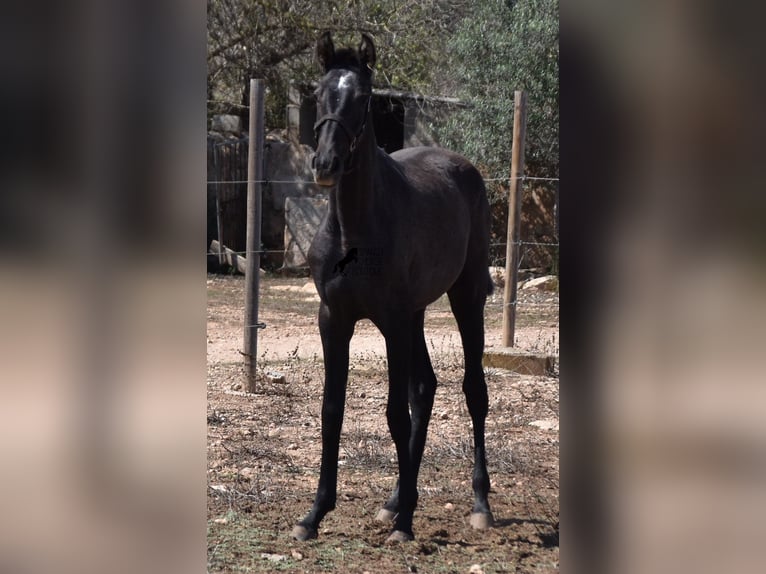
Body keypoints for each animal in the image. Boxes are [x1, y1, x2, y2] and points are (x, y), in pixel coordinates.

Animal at [292, 31, 496, 544]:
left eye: (365, 98)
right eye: (319, 93)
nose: (326, 164)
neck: (355, 229)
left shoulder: (391, 319)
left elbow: (394, 416)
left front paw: (405, 526)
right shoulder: (335, 319)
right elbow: (332, 411)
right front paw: (315, 514)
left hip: (463, 298)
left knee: (473, 391)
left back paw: (478, 505)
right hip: (415, 316)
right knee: (425, 388)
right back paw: (395, 501)